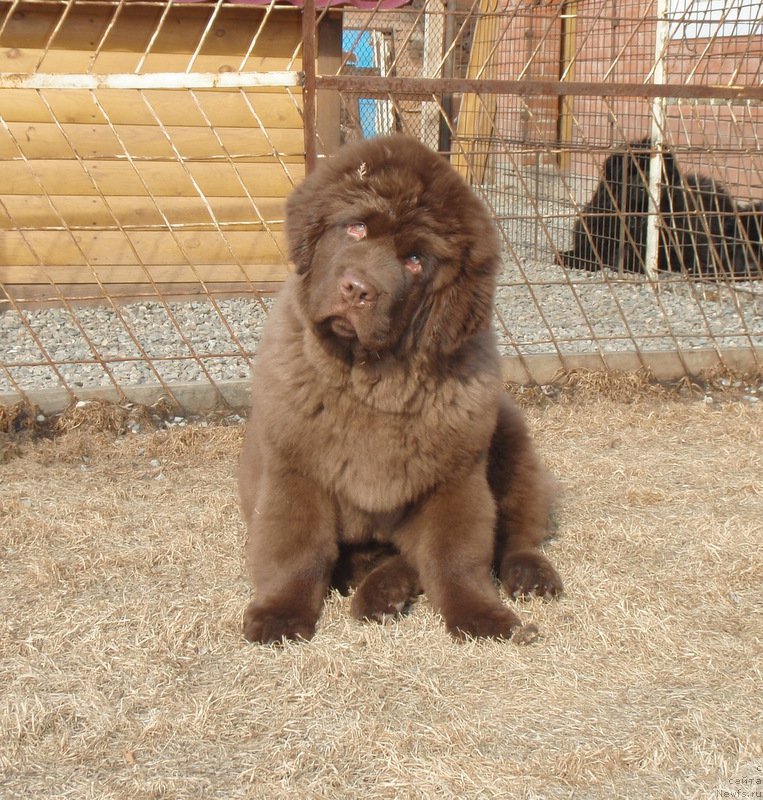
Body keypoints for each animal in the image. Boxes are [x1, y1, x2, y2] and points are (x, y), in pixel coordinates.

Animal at [239, 133, 560, 644]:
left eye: (414, 260)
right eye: (355, 229)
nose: (356, 289)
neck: (372, 382)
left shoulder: (455, 479)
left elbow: (457, 557)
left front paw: (481, 617)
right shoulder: (294, 469)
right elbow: (295, 548)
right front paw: (280, 615)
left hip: (511, 436)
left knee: (517, 530)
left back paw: (529, 576)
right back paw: (382, 595)